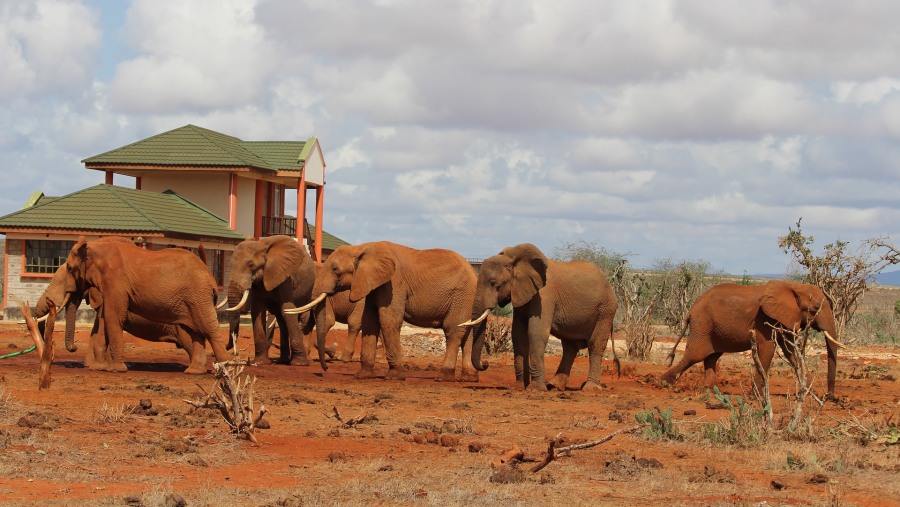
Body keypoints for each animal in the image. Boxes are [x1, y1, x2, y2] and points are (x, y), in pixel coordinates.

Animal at [57, 237, 230, 374]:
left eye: (70, 268)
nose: (74, 348)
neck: (96, 247)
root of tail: (209, 274)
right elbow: (105, 318)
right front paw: (99, 369)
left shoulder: (115, 282)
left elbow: (113, 317)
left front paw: (116, 370)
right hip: (192, 300)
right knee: (195, 332)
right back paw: (194, 372)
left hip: (199, 295)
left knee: (208, 330)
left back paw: (226, 370)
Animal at [224, 234, 328, 370]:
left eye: (251, 265)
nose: (227, 347)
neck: (262, 246)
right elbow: (257, 311)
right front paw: (260, 362)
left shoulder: (285, 276)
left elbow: (287, 308)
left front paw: (300, 364)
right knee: (282, 321)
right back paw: (283, 361)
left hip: (308, 290)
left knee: (297, 317)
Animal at [294, 241, 478, 380]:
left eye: (335, 269)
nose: (325, 370)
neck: (362, 248)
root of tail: (473, 270)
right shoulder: (372, 285)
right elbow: (369, 321)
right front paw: (363, 375)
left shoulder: (394, 283)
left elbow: (388, 320)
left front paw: (395, 376)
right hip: (467, 298)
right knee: (467, 332)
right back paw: (469, 377)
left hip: (462, 295)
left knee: (453, 330)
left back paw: (443, 376)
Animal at [660, 280, 844, 398]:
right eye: (815, 309)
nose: (829, 396)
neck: (795, 286)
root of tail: (691, 310)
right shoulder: (765, 319)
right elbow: (768, 350)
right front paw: (756, 396)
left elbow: (790, 351)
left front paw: (809, 392)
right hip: (702, 325)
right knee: (694, 356)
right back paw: (663, 383)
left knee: (711, 357)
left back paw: (711, 390)